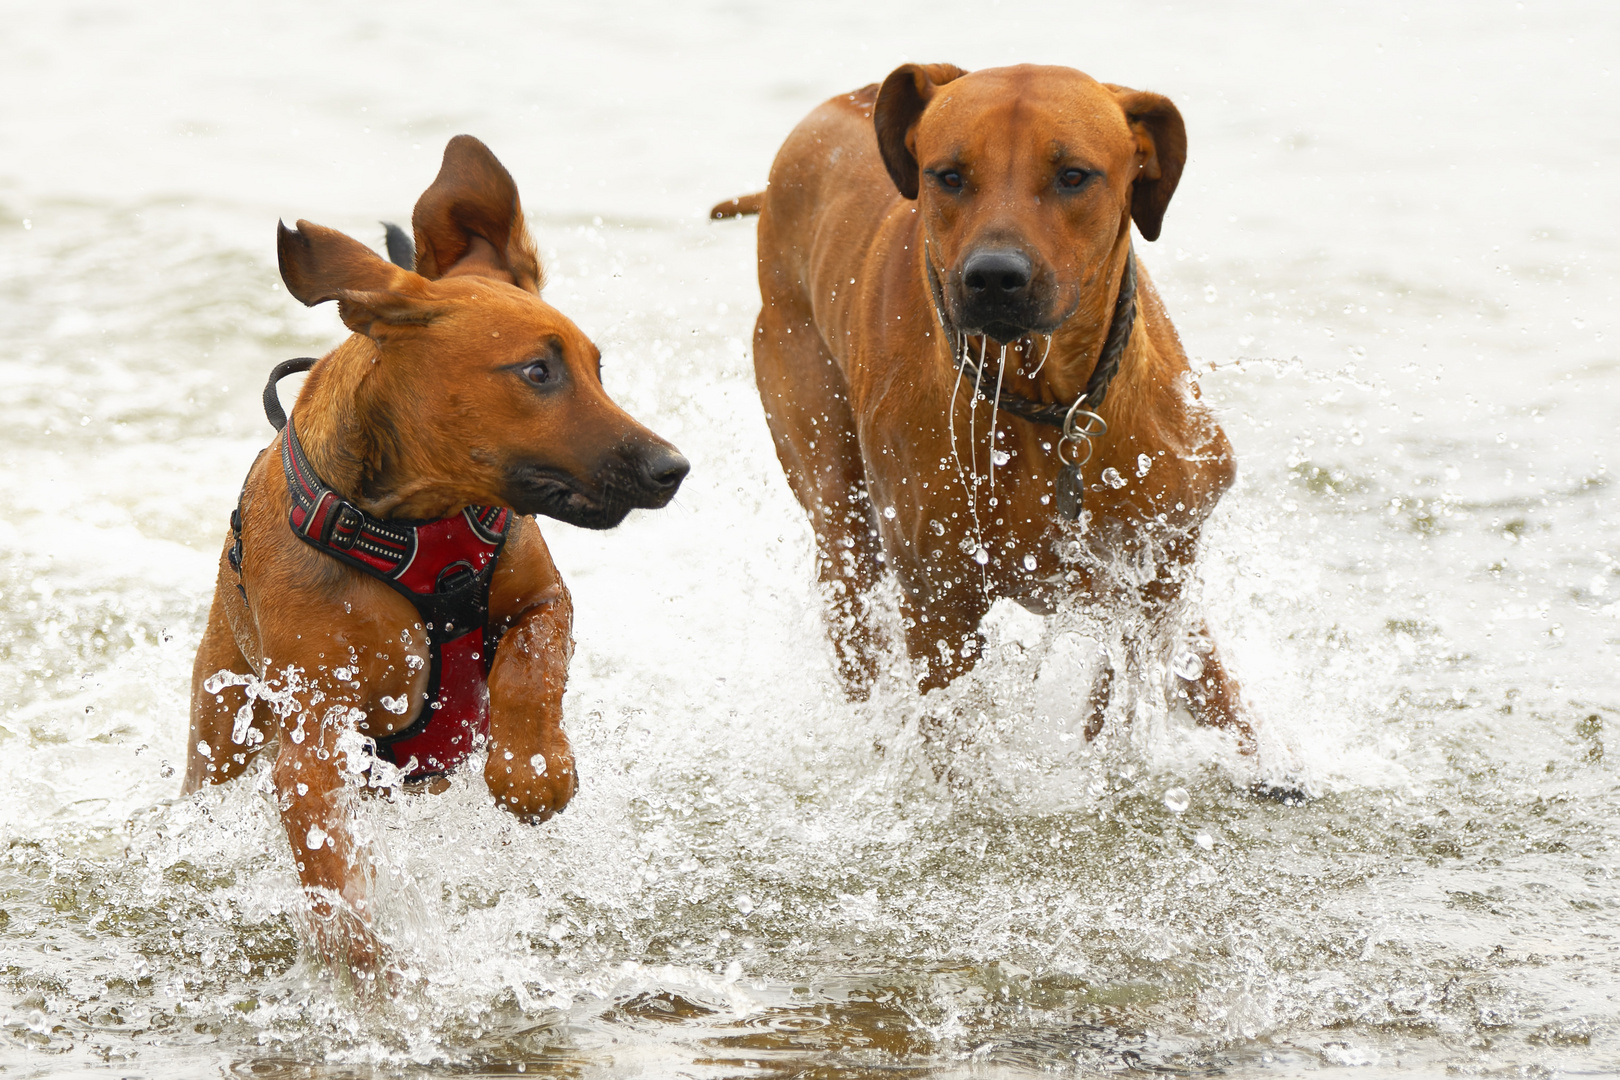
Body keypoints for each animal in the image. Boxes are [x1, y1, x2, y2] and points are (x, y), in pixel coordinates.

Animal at [186, 137, 686, 977]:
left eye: (597, 368)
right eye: (537, 371)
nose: (671, 468)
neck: (421, 528)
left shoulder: (543, 596)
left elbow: (532, 665)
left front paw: (534, 773)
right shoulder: (314, 738)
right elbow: (331, 869)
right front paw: (365, 965)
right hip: (221, 721)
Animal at [712, 63, 1250, 748]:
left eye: (1073, 175)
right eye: (948, 176)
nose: (995, 275)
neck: (1049, 404)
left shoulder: (1160, 563)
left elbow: (1168, 686)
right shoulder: (938, 598)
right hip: (833, 497)